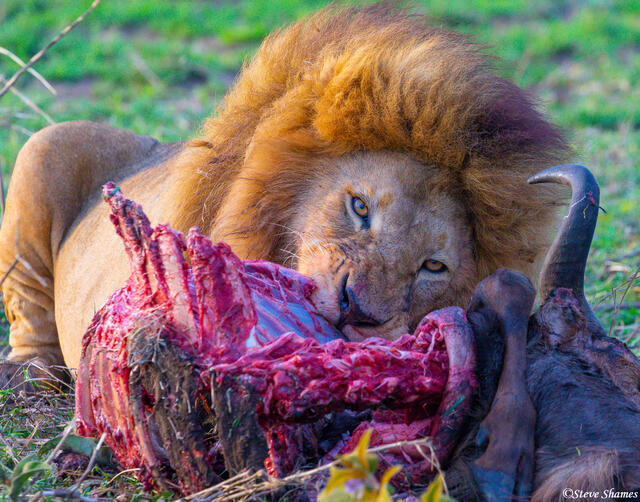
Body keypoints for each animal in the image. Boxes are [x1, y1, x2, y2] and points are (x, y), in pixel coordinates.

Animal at [0, 3, 568, 383]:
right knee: (28, 315)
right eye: (359, 207)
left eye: (433, 267)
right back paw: (30, 375)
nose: (356, 309)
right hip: (43, 147)